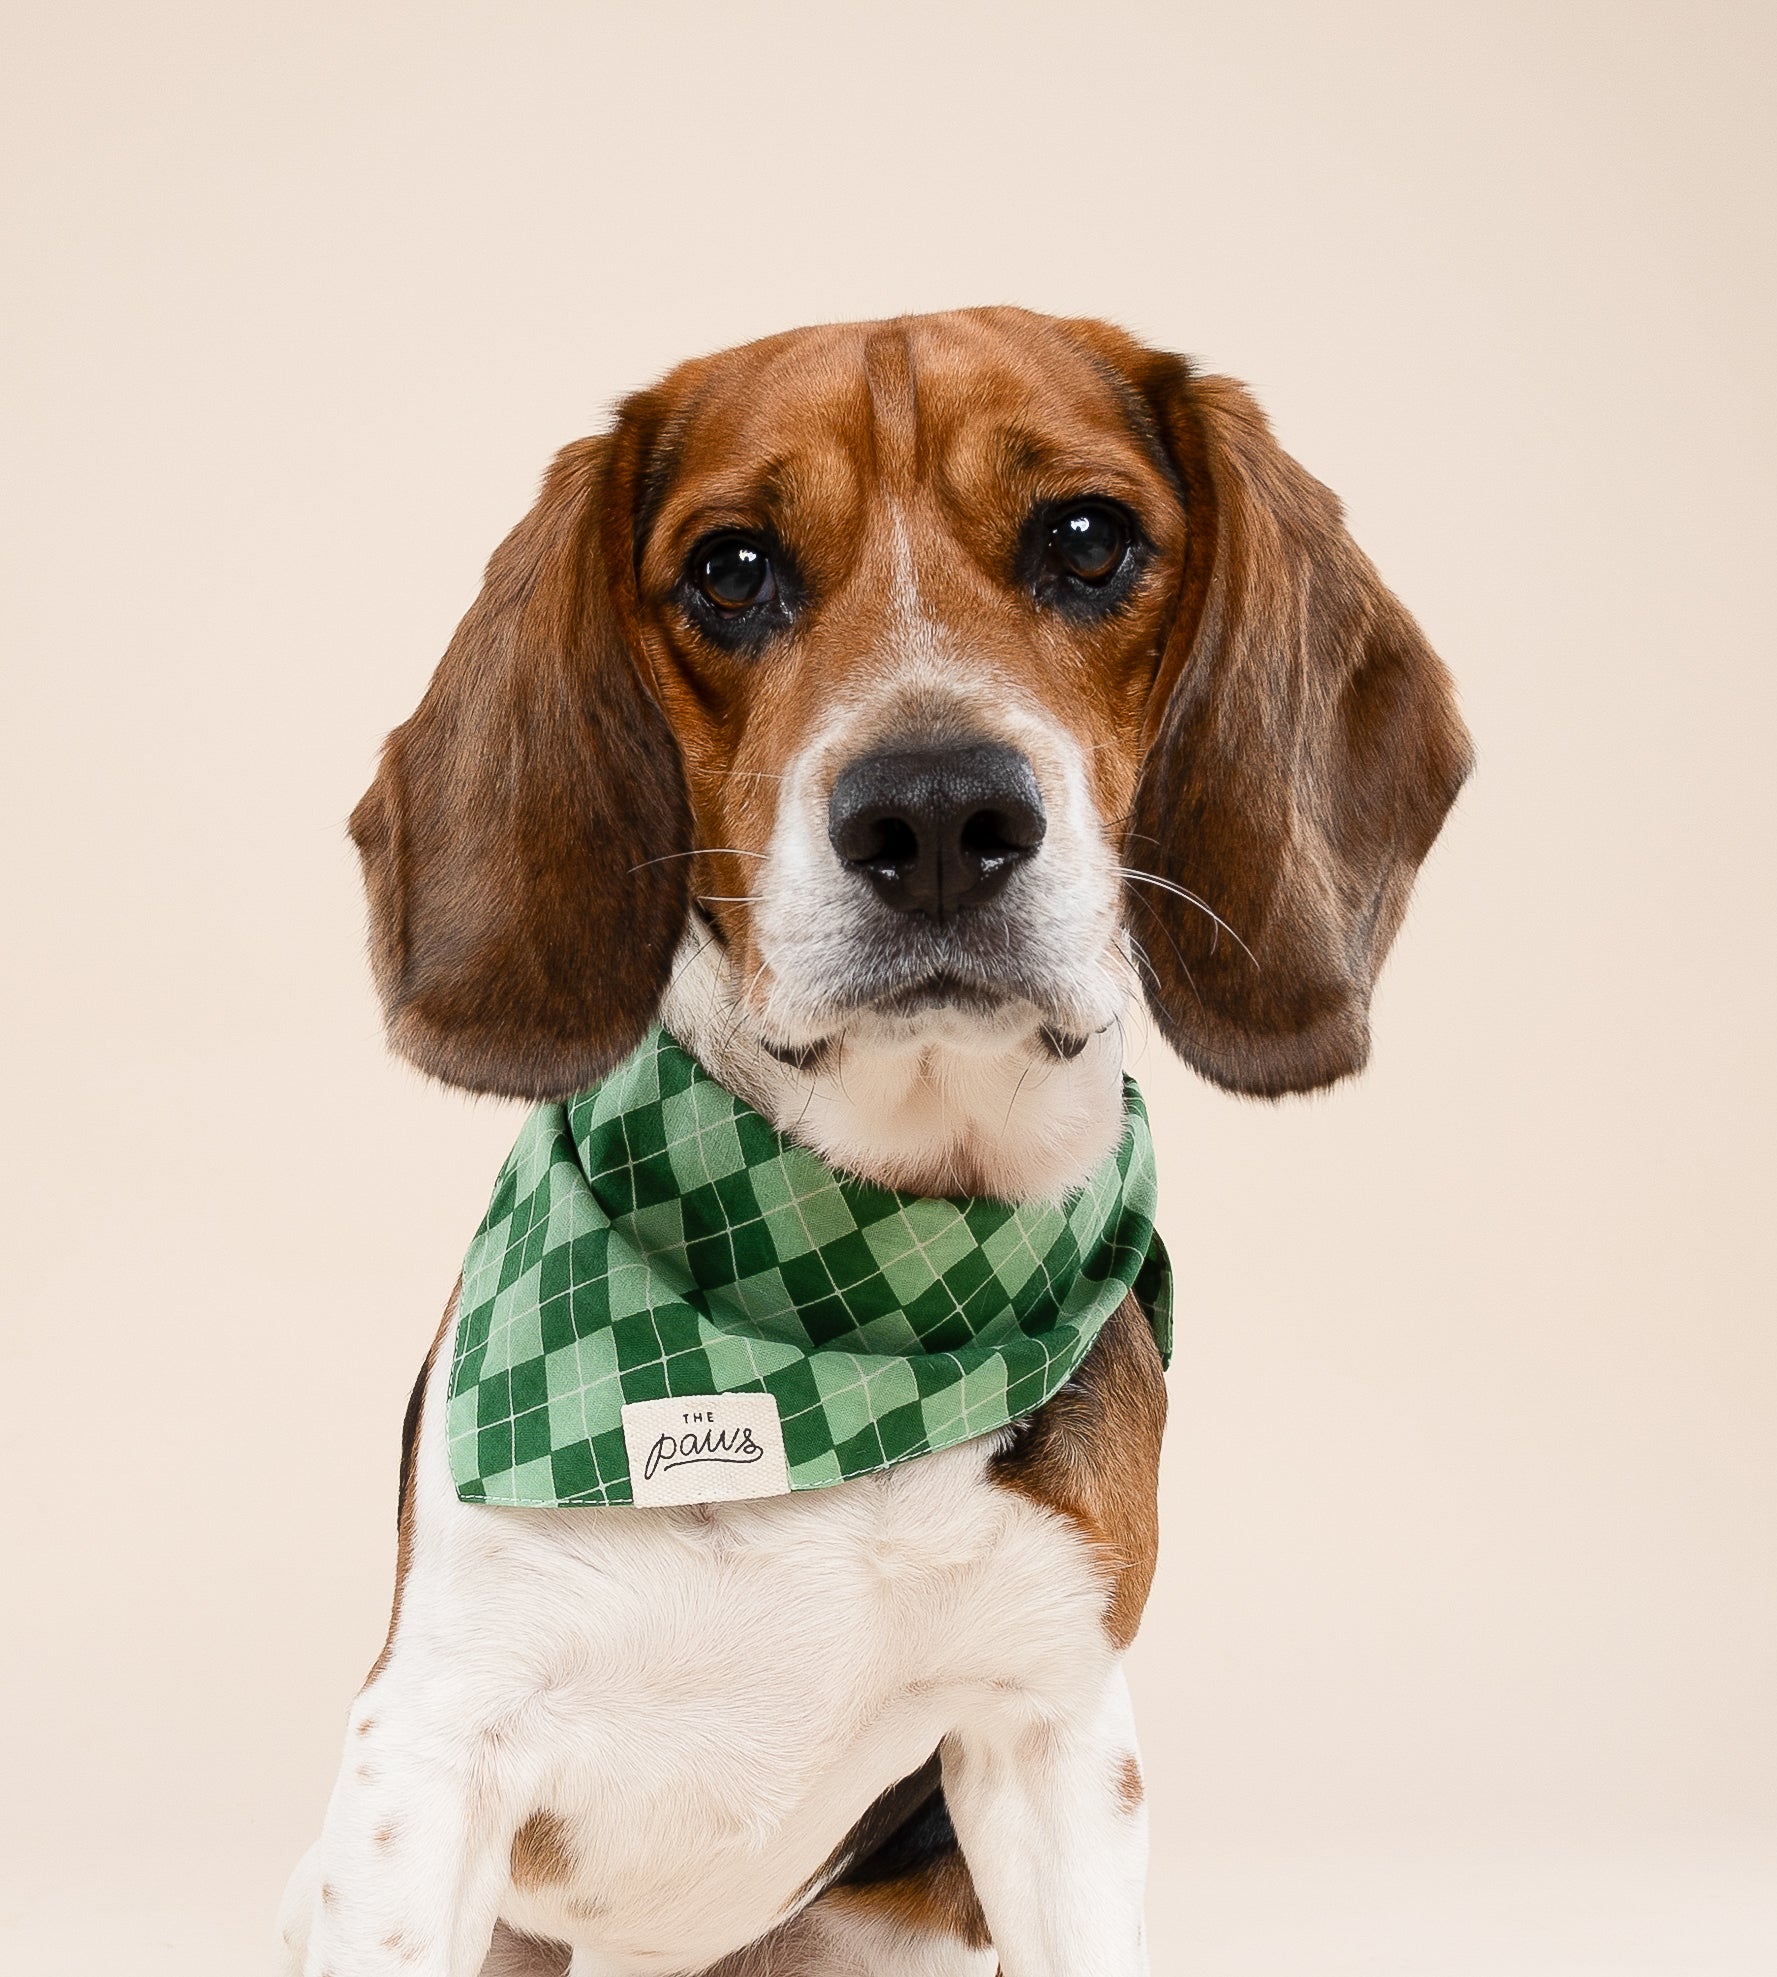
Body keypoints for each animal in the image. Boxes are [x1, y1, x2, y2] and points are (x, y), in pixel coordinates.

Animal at [280, 308, 1470, 1977]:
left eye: (1086, 539)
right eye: (730, 569)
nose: (937, 813)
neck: (856, 1289)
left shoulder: (1052, 1734)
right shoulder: (427, 1748)